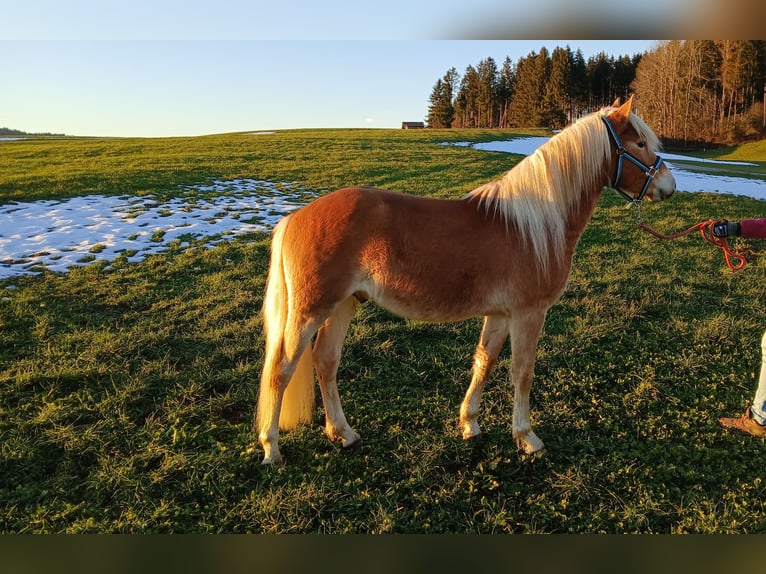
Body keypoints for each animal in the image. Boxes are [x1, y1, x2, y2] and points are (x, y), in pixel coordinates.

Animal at [256, 97, 680, 466]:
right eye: (640, 143)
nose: (670, 187)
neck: (538, 223)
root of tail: (294, 218)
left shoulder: (501, 314)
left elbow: (484, 362)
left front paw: (469, 423)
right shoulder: (529, 313)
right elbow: (522, 372)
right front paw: (526, 436)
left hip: (343, 305)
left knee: (325, 362)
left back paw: (342, 433)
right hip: (310, 311)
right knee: (281, 369)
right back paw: (271, 448)